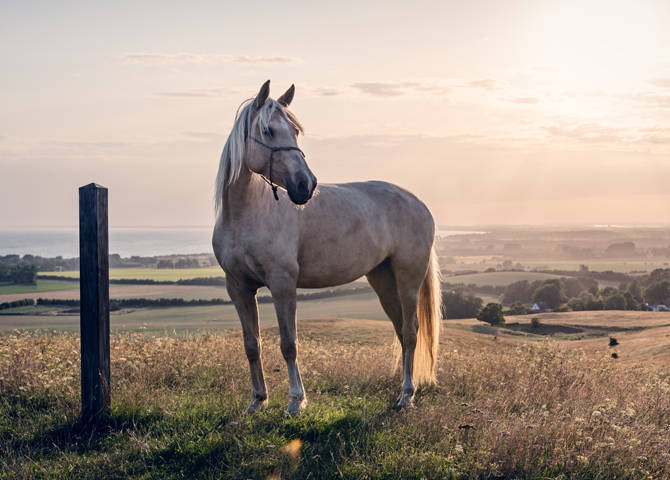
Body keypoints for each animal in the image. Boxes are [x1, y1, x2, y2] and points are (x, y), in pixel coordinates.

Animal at [212, 80, 441, 416]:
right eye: (267, 131)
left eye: (295, 131)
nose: (305, 185)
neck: (246, 215)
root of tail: (419, 203)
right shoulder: (238, 287)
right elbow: (251, 344)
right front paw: (257, 401)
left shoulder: (282, 284)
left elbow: (289, 344)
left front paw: (296, 402)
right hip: (383, 280)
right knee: (401, 331)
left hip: (408, 279)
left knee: (411, 333)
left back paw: (406, 396)